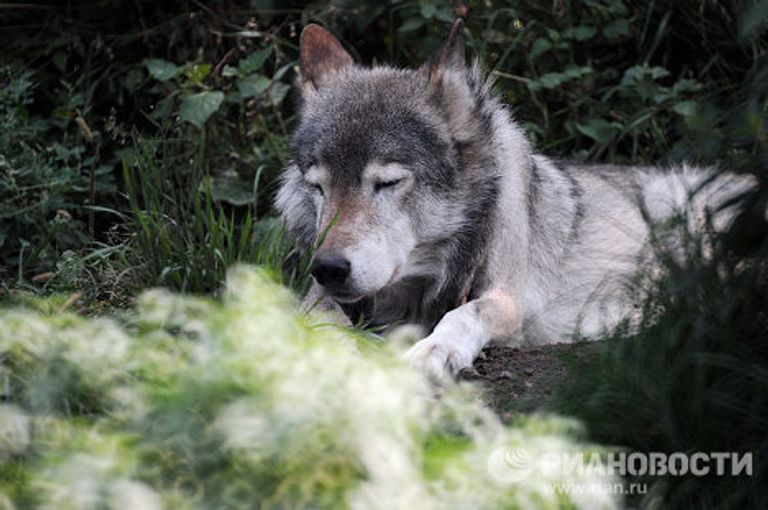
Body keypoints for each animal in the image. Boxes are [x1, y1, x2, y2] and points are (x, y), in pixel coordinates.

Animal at [276, 20, 749, 382]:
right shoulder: (321, 296)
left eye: (388, 183)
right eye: (318, 186)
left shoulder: (507, 297)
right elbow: (312, 319)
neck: (421, 283)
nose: (329, 267)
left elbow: (464, 314)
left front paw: (435, 350)